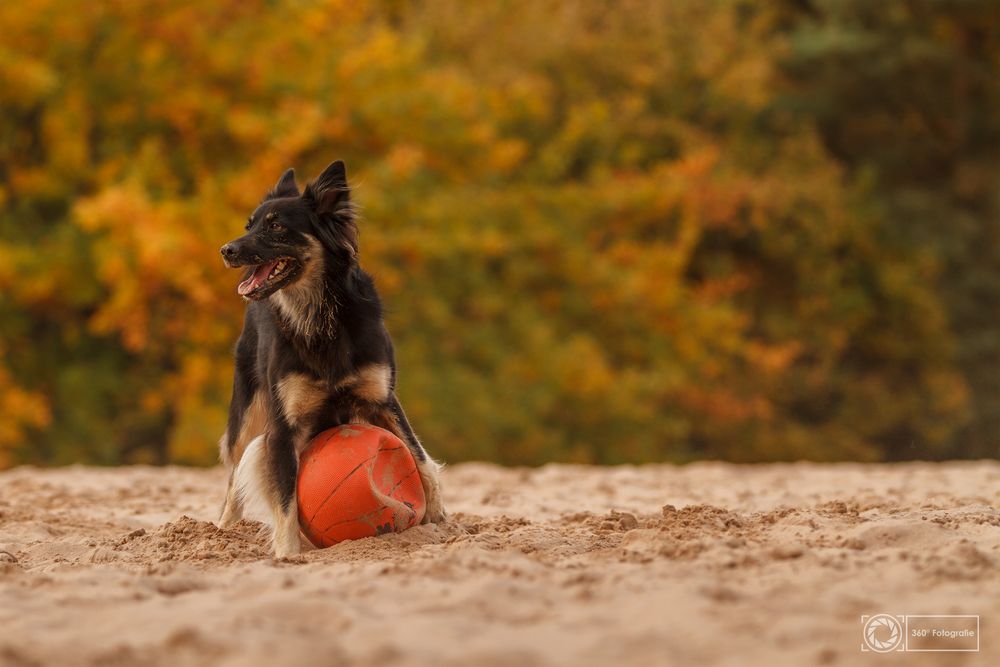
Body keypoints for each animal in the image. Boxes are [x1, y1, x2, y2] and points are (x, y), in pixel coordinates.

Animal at [218, 159, 446, 556]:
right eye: (250, 226)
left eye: (276, 226)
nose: (226, 250)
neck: (320, 313)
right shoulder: (283, 425)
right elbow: (285, 502)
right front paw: (287, 555)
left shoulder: (381, 400)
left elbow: (420, 458)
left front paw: (437, 519)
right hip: (247, 413)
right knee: (234, 473)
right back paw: (221, 531)